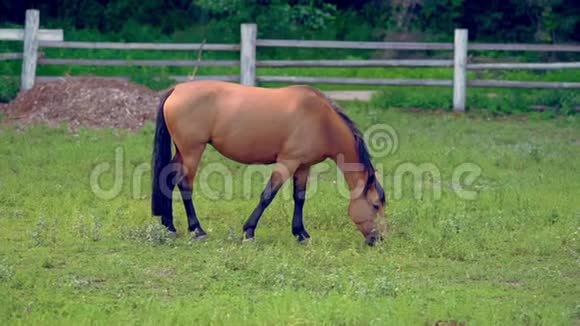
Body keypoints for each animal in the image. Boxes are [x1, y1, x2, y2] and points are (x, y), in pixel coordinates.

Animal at [151, 81, 386, 244]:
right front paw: (249, 231)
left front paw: (301, 233)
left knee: (168, 180)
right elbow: (267, 195)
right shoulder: (287, 162)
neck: (321, 121)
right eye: (375, 205)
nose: (379, 239)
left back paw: (169, 227)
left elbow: (299, 197)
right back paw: (197, 230)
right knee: (184, 184)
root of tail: (177, 89)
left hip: (182, 151)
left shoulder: (303, 166)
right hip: (192, 151)